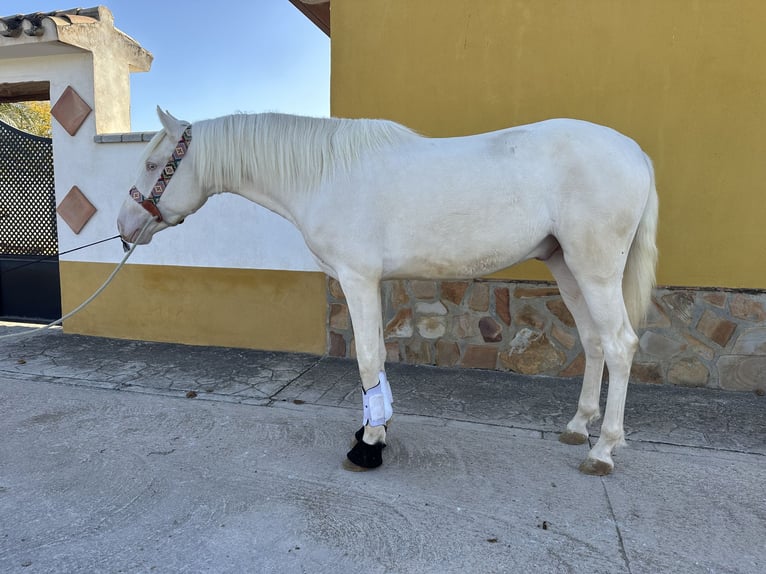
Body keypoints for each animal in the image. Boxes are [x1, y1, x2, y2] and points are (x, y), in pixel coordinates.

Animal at [118, 108, 660, 476]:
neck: (325, 174)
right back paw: (577, 427)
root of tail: (635, 152)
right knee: (593, 342)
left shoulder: (357, 278)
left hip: (594, 268)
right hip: (566, 265)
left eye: (153, 163)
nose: (123, 228)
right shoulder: (370, 282)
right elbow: (375, 356)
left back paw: (603, 449)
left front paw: (371, 442)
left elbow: (366, 357)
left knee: (620, 344)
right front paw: (373, 429)